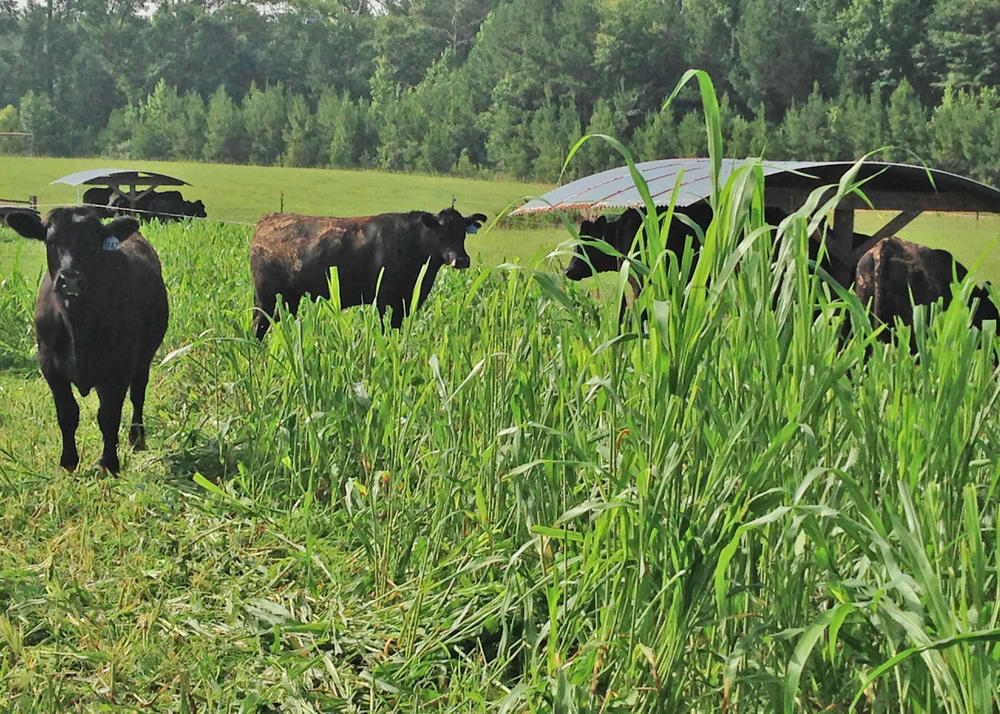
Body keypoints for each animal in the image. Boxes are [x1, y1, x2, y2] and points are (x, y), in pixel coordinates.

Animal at [5, 206, 169, 472]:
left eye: (93, 243)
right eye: (51, 241)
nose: (70, 279)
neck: (78, 324)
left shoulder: (118, 367)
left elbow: (109, 416)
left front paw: (109, 463)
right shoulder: (50, 366)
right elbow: (67, 413)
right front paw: (68, 460)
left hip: (144, 358)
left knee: (137, 394)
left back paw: (137, 439)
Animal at [248, 207, 486, 338]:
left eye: (463, 231)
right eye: (442, 231)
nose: (461, 260)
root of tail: (268, 219)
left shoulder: (404, 303)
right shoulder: (383, 299)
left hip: (289, 297)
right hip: (266, 295)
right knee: (260, 323)